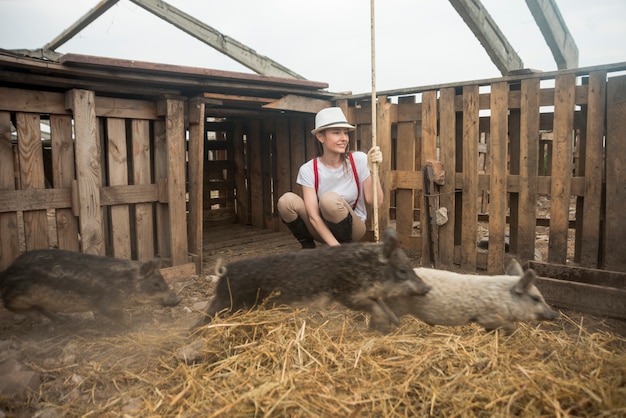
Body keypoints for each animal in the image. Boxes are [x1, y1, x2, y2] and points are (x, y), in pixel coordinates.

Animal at [0, 250, 180, 322]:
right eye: (156, 284)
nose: (178, 300)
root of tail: (7, 272)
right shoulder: (105, 304)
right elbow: (116, 315)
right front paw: (130, 324)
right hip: (19, 296)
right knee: (9, 304)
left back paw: (61, 320)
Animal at [197, 227, 426, 332]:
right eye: (402, 271)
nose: (427, 288)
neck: (365, 266)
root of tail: (224, 271)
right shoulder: (348, 295)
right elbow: (374, 308)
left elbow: (382, 307)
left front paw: (395, 323)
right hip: (226, 301)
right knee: (204, 317)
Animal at [386, 258, 556, 334]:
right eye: (536, 298)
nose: (555, 314)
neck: (504, 297)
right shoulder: (490, 316)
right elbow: (509, 327)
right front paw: (514, 333)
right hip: (398, 304)